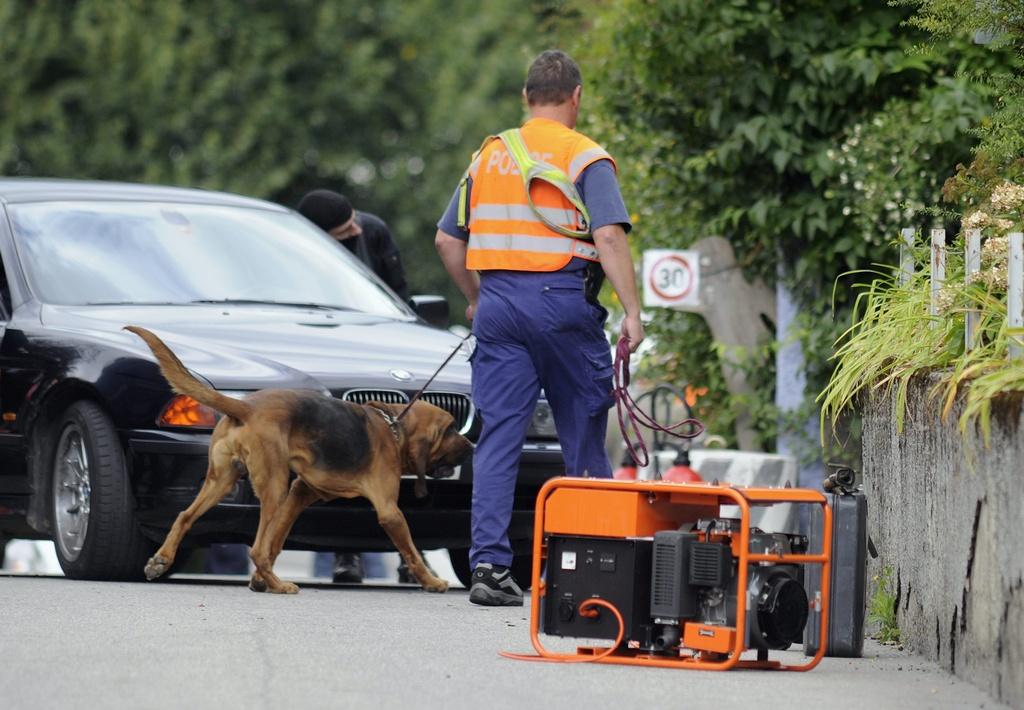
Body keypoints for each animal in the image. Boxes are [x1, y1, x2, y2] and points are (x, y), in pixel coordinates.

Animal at [124, 325, 471, 594]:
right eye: (451, 429)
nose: (471, 446)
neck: (394, 428)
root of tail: (246, 407)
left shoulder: (300, 493)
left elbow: (278, 539)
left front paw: (258, 582)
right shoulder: (390, 512)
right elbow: (411, 550)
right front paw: (432, 582)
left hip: (223, 481)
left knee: (185, 516)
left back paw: (161, 561)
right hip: (272, 486)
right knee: (257, 548)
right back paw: (279, 586)